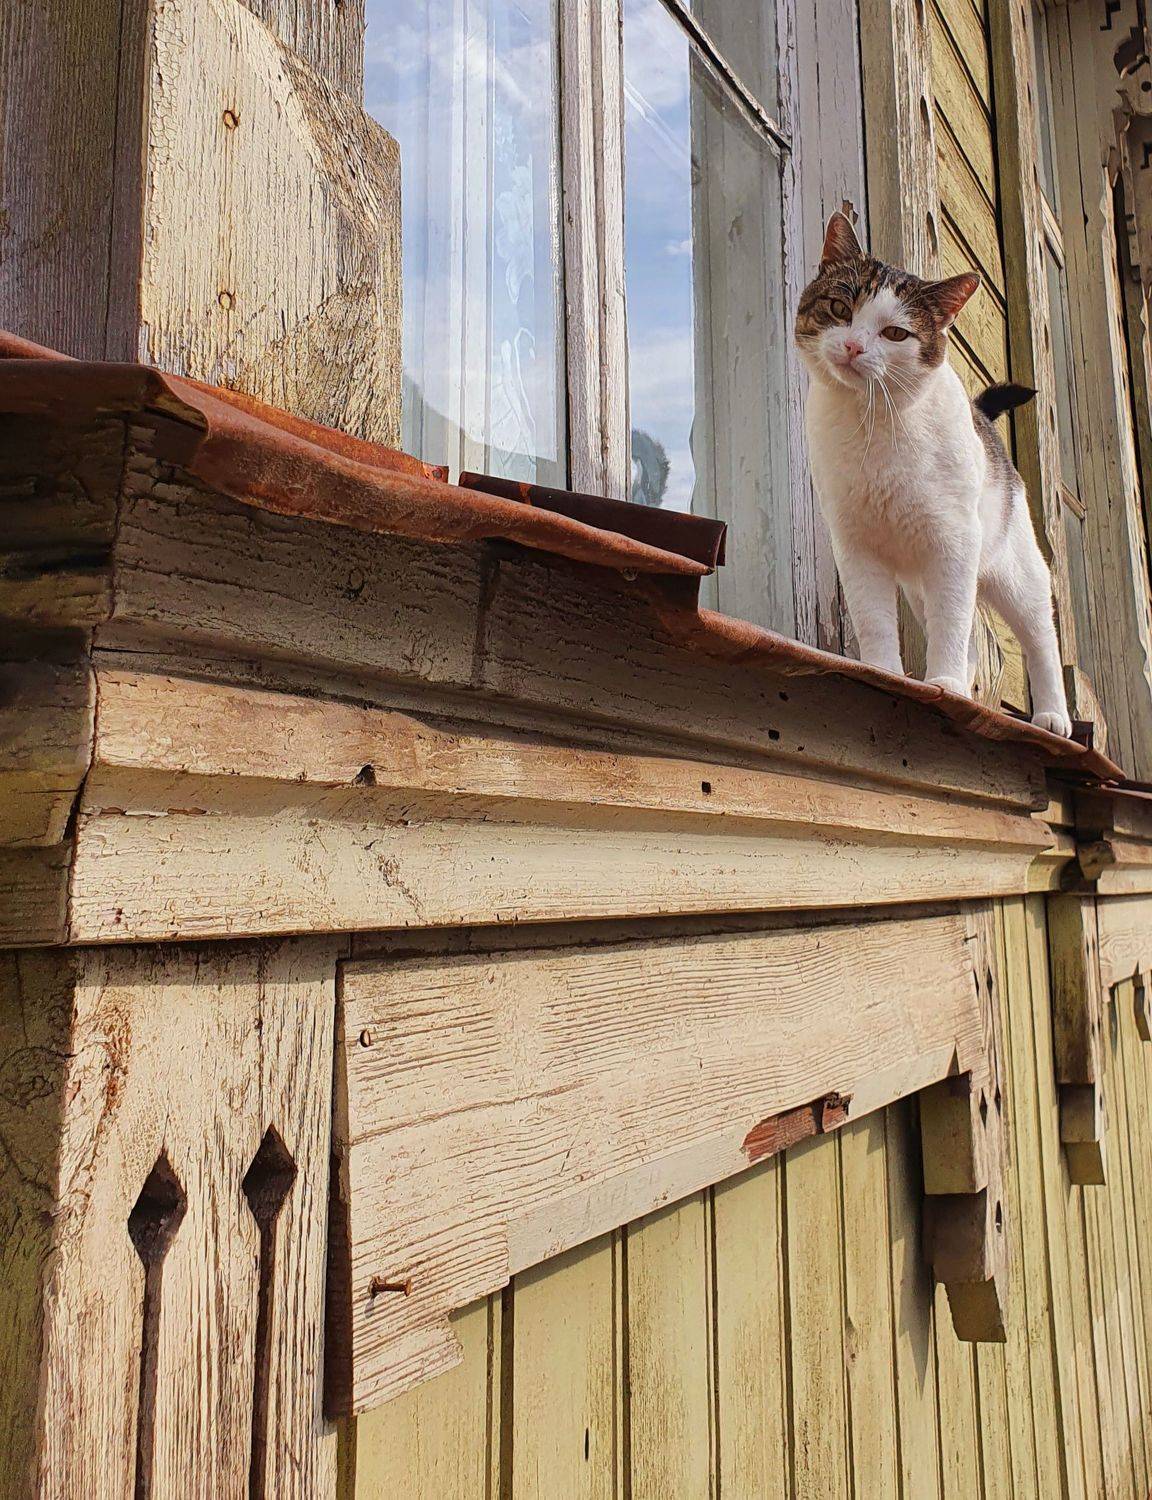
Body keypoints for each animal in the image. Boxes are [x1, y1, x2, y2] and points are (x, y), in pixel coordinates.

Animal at [794, 211, 1073, 737]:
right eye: (839, 308)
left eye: (895, 334)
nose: (854, 346)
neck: (872, 423)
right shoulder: (856, 545)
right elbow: (876, 619)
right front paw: (885, 672)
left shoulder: (954, 542)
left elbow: (953, 623)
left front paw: (945, 684)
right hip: (922, 582)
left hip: (1015, 572)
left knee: (1037, 637)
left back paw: (1051, 714)